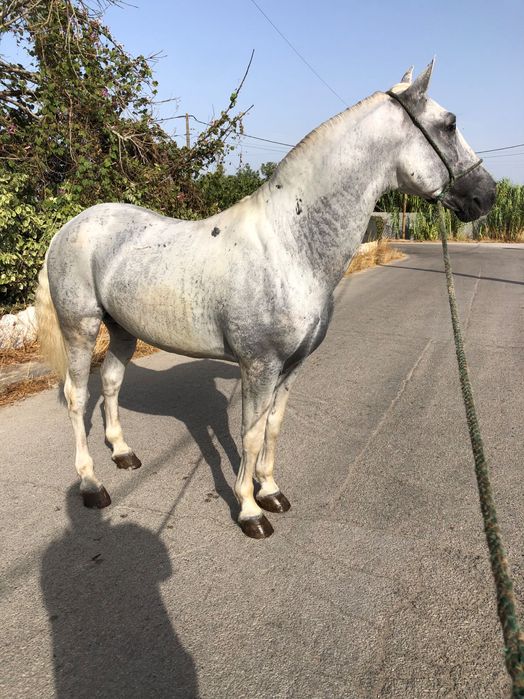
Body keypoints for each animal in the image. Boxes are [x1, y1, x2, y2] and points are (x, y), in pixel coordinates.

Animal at [36, 62, 496, 539]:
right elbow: (250, 434)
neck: (289, 247)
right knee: (77, 395)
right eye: (450, 124)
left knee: (110, 381)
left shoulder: (291, 365)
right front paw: (249, 511)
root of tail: (69, 228)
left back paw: (123, 453)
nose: (487, 195)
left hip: (123, 329)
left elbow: (273, 428)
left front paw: (271, 491)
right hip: (81, 327)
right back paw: (92, 485)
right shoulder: (260, 365)